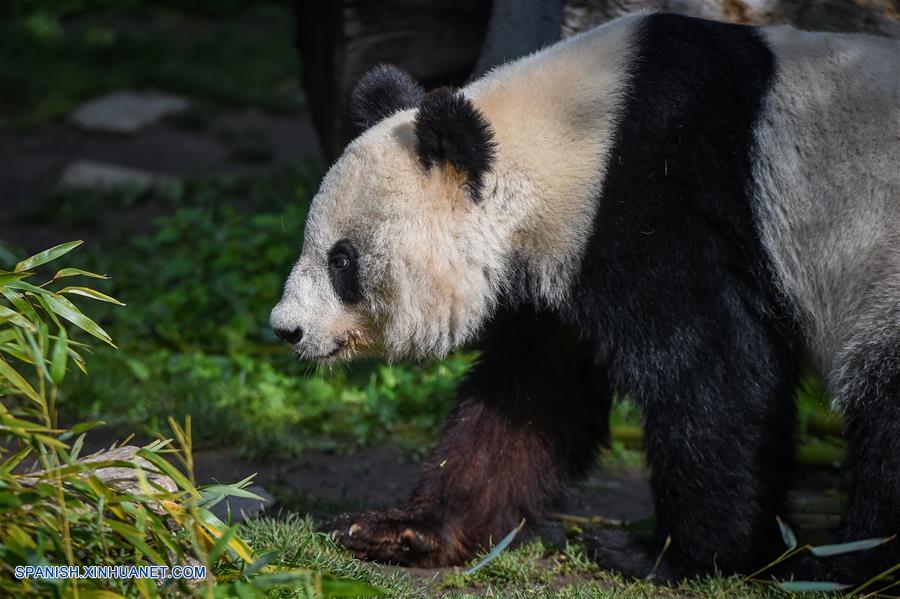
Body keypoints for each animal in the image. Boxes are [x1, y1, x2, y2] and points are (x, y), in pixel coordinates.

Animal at [272, 11, 900, 584]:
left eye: (342, 260)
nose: (285, 328)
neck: (574, 137)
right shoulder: (564, 265)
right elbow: (530, 398)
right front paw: (403, 530)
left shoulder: (656, 207)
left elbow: (716, 375)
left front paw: (676, 556)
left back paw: (848, 562)